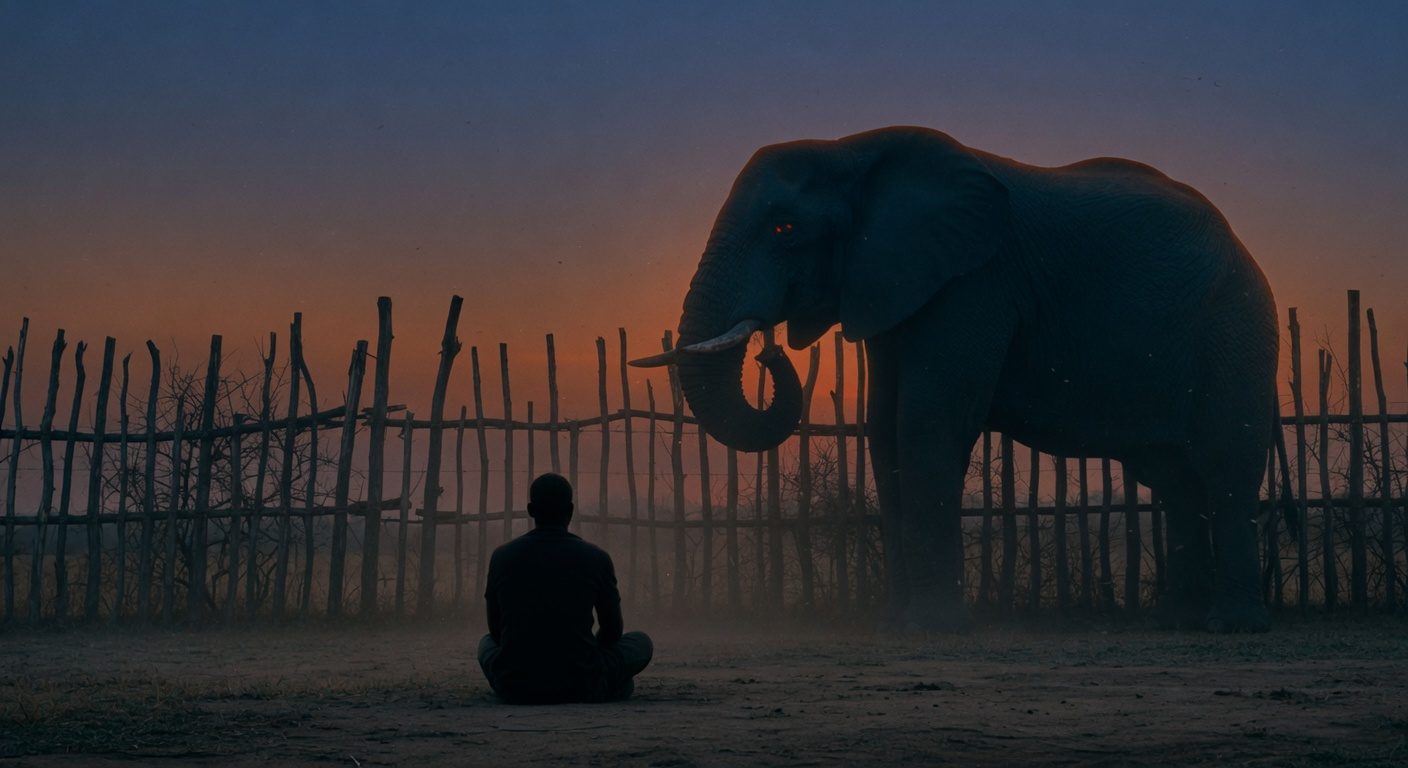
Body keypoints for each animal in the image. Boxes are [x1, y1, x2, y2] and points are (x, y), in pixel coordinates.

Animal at [631, 126, 1278, 633]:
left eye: (785, 228)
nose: (768, 354)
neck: (851, 149)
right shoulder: (896, 283)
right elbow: (883, 427)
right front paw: (895, 626)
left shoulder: (975, 281)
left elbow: (926, 418)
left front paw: (932, 628)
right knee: (1173, 477)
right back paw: (1176, 622)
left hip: (1234, 326)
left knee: (1225, 464)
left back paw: (1232, 626)